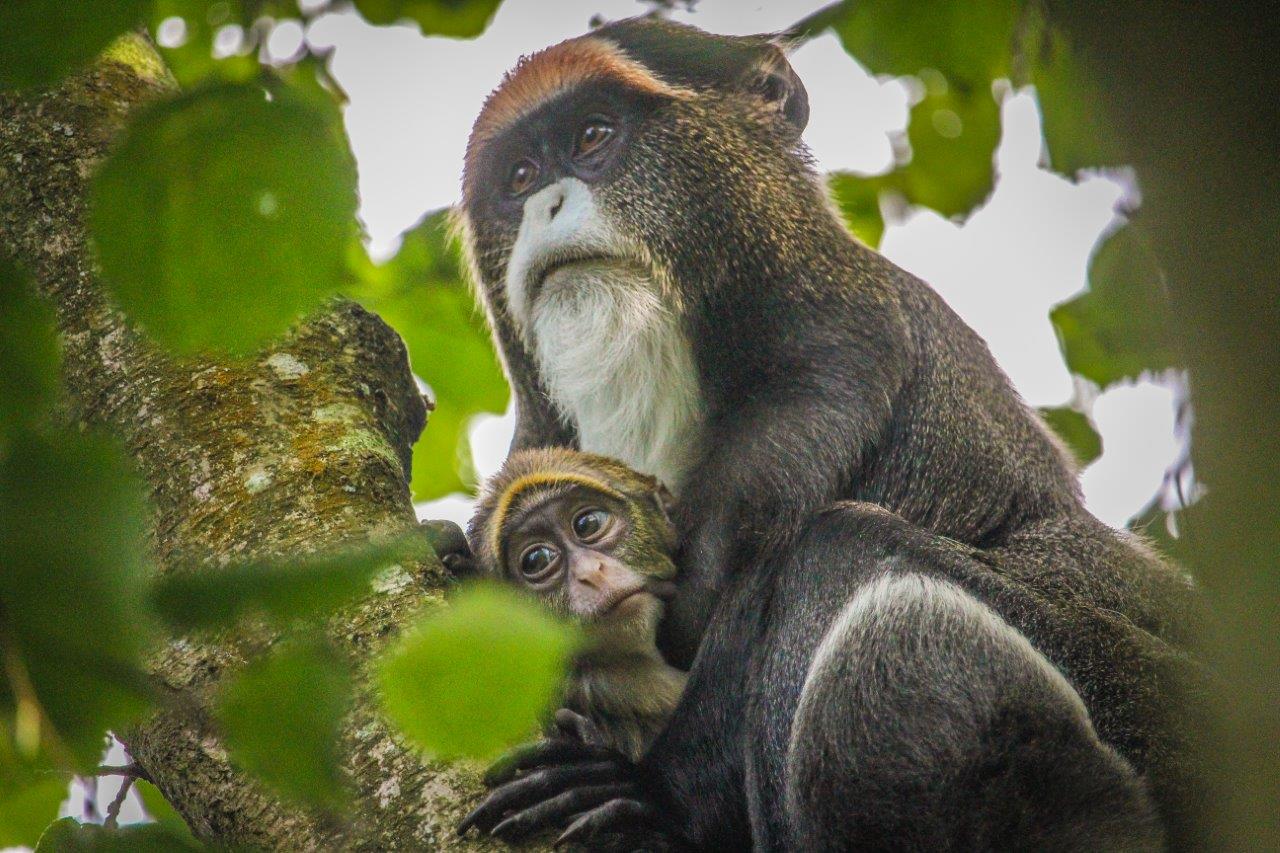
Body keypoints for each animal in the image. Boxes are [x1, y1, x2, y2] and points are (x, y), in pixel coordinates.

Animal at [458, 14, 1208, 850]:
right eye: (519, 177)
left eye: (593, 135)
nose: (548, 203)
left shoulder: (833, 369)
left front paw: (652, 794)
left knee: (843, 554)